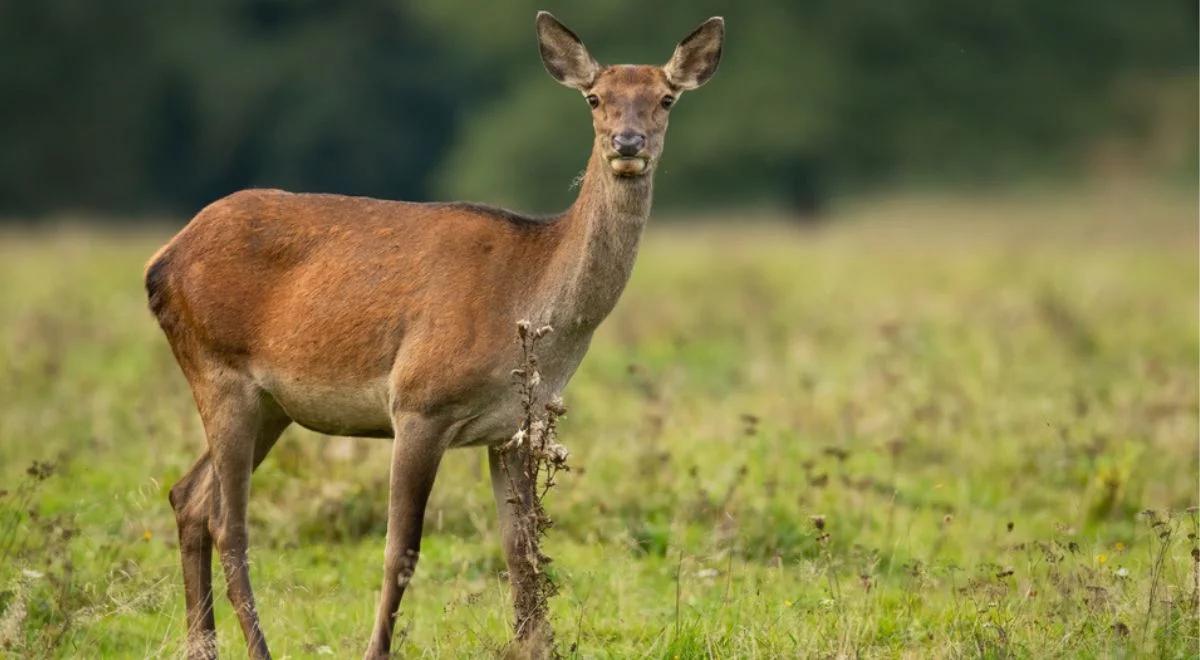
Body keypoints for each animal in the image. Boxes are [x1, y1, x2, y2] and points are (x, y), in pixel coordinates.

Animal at [140, 11, 720, 660]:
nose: (627, 143)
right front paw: (375, 651)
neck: (532, 309)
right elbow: (402, 551)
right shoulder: (419, 402)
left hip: (271, 405)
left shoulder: (515, 429)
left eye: (665, 98)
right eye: (595, 98)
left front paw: (535, 644)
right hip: (218, 369)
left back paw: (202, 643)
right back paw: (256, 648)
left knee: (189, 496)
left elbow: (523, 556)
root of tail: (160, 263)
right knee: (228, 520)